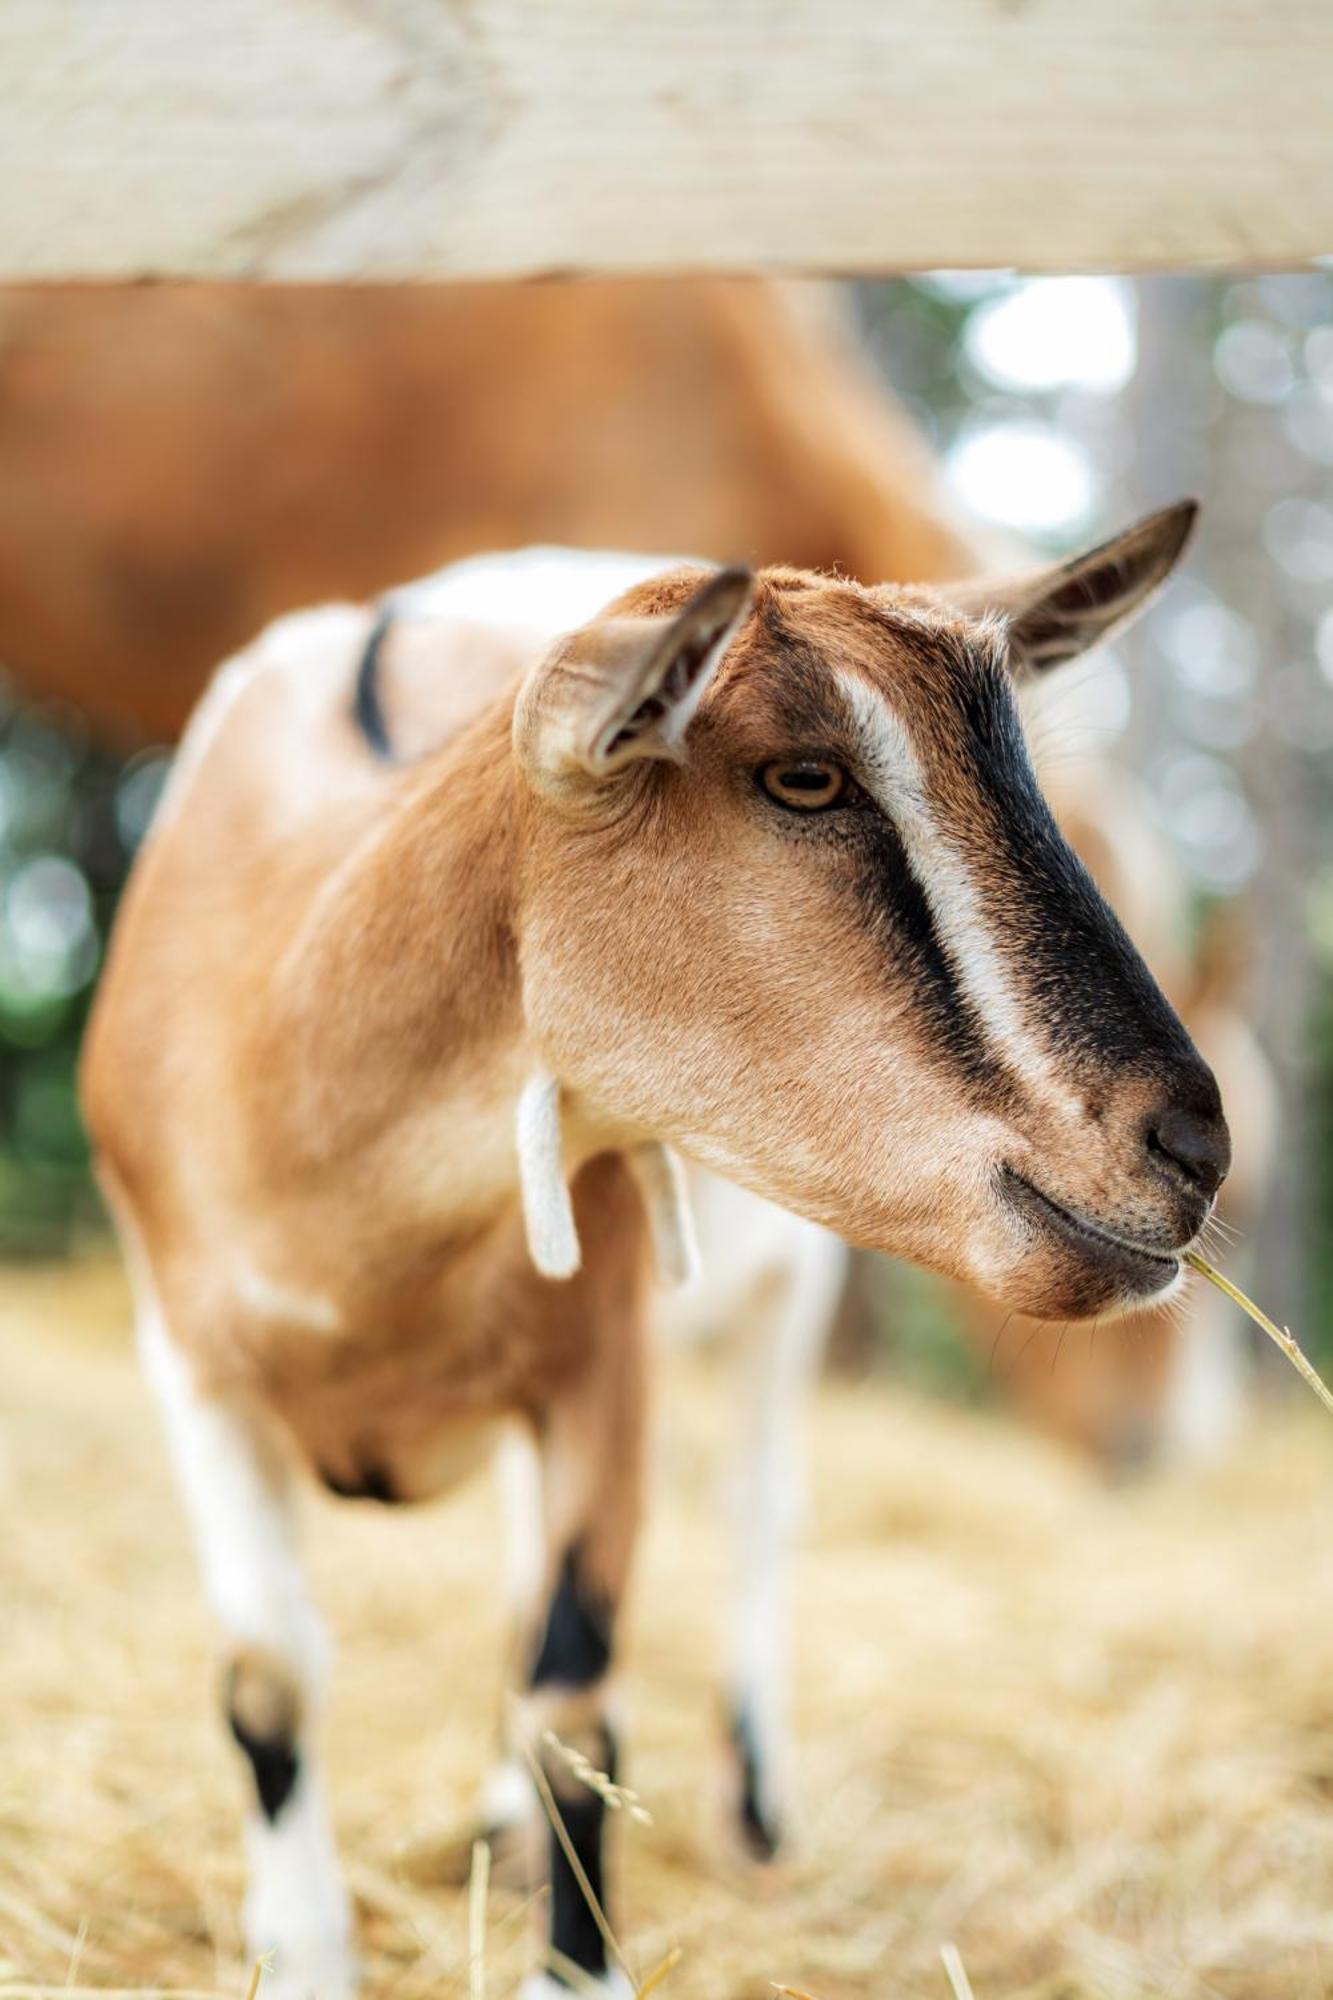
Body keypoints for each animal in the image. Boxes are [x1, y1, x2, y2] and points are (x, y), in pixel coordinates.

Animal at [80, 508, 1224, 1992]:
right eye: (805, 777)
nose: (1189, 1148)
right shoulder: (191, 1361)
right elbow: (270, 1678)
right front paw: (307, 1951)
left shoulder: (604, 1357)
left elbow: (577, 1694)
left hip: (785, 1291)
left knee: (754, 1507)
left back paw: (751, 1811)